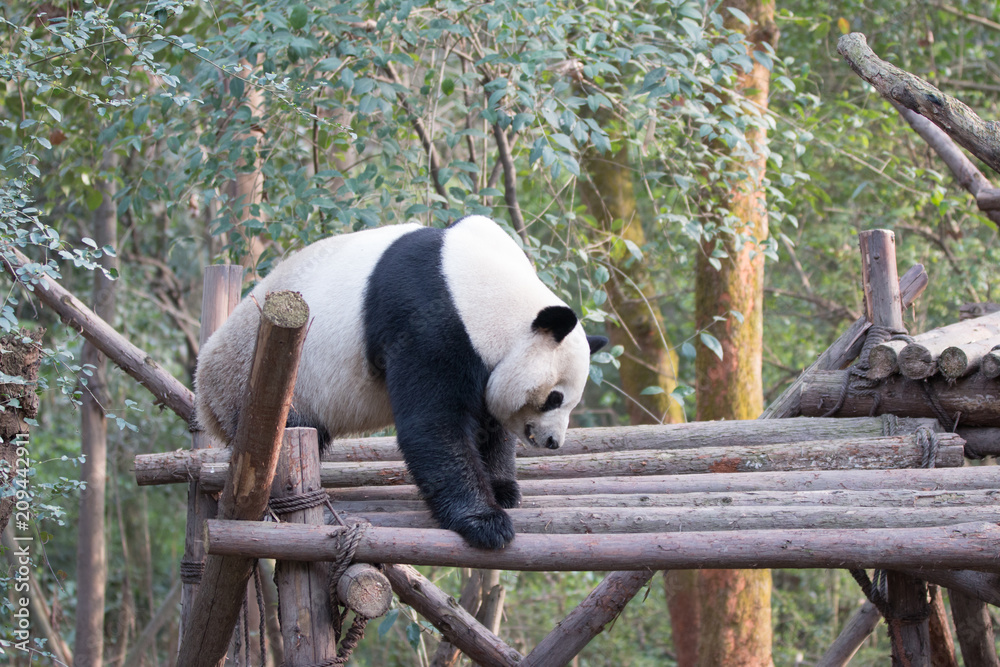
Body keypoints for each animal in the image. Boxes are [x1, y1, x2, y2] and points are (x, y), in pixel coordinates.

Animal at [195, 215, 607, 549]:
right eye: (554, 398)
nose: (553, 442)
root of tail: (203, 393)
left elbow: (490, 422)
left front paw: (503, 489)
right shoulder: (429, 320)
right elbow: (432, 423)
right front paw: (486, 522)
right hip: (259, 381)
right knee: (277, 437)